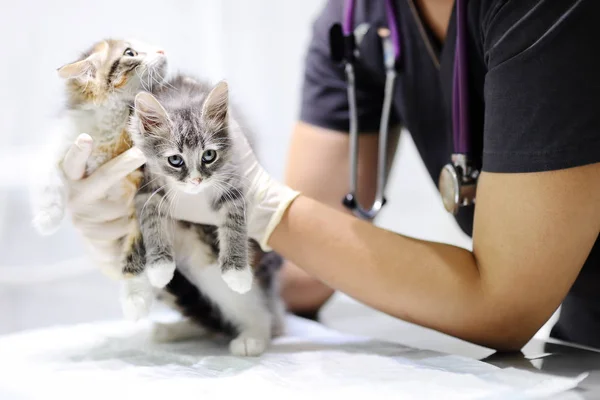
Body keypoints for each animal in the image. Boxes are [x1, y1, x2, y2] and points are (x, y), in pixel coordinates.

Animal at [125, 72, 284, 356]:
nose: (196, 181)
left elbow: (235, 223)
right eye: (175, 160)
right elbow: (151, 221)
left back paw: (253, 337)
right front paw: (159, 268)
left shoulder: (233, 181)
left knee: (259, 314)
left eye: (209, 155)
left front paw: (237, 272)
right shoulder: (145, 187)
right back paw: (169, 326)